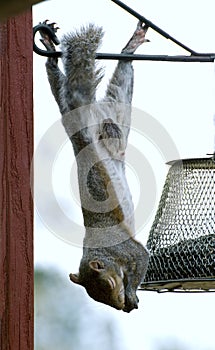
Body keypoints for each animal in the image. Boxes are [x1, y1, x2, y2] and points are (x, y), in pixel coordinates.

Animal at [40, 21, 150, 312]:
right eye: (98, 296)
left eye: (108, 285)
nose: (119, 305)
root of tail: (82, 138)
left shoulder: (126, 249)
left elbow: (141, 258)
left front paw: (132, 294)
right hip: (117, 112)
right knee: (120, 80)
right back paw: (129, 48)